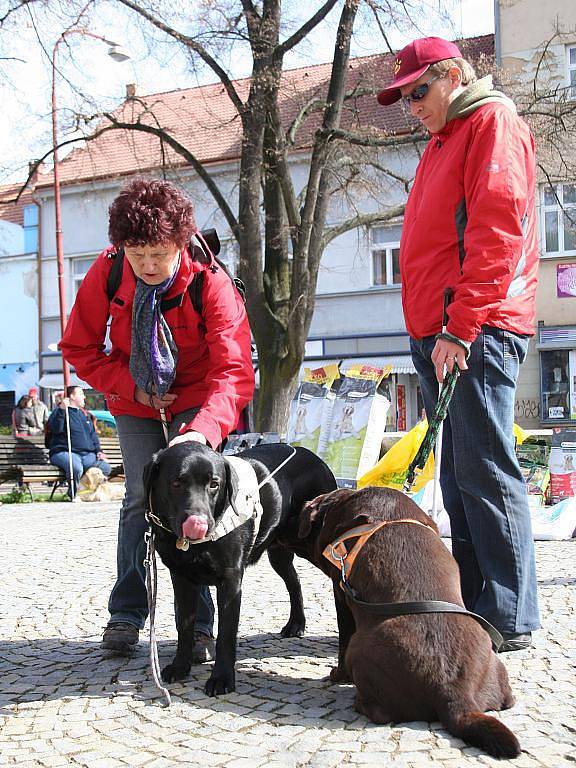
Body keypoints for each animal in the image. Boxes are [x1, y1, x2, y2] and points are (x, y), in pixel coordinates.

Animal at [141, 438, 336, 696]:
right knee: (295, 583)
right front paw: (180, 666)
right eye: (176, 483)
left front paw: (222, 679)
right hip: (279, 554)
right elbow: (184, 625)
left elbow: (226, 634)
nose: (200, 523)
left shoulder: (231, 581)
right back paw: (296, 623)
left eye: (214, 484)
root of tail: (312, 455)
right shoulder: (182, 579)